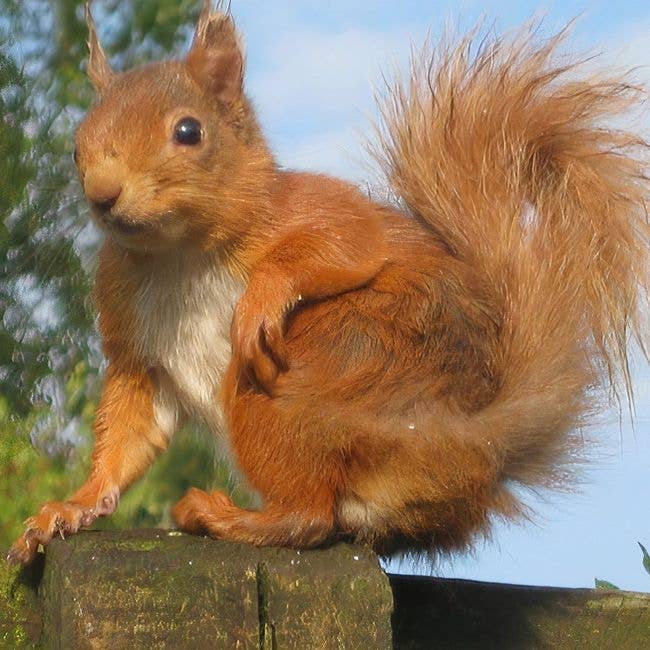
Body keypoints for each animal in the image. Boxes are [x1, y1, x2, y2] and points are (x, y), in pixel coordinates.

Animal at [8, 2, 648, 565]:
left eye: (189, 131)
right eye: (76, 146)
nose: (103, 194)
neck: (177, 255)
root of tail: (475, 440)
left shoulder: (316, 208)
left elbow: (348, 242)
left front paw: (262, 295)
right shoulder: (133, 342)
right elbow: (129, 435)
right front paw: (71, 507)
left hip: (307, 373)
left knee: (310, 517)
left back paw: (224, 516)